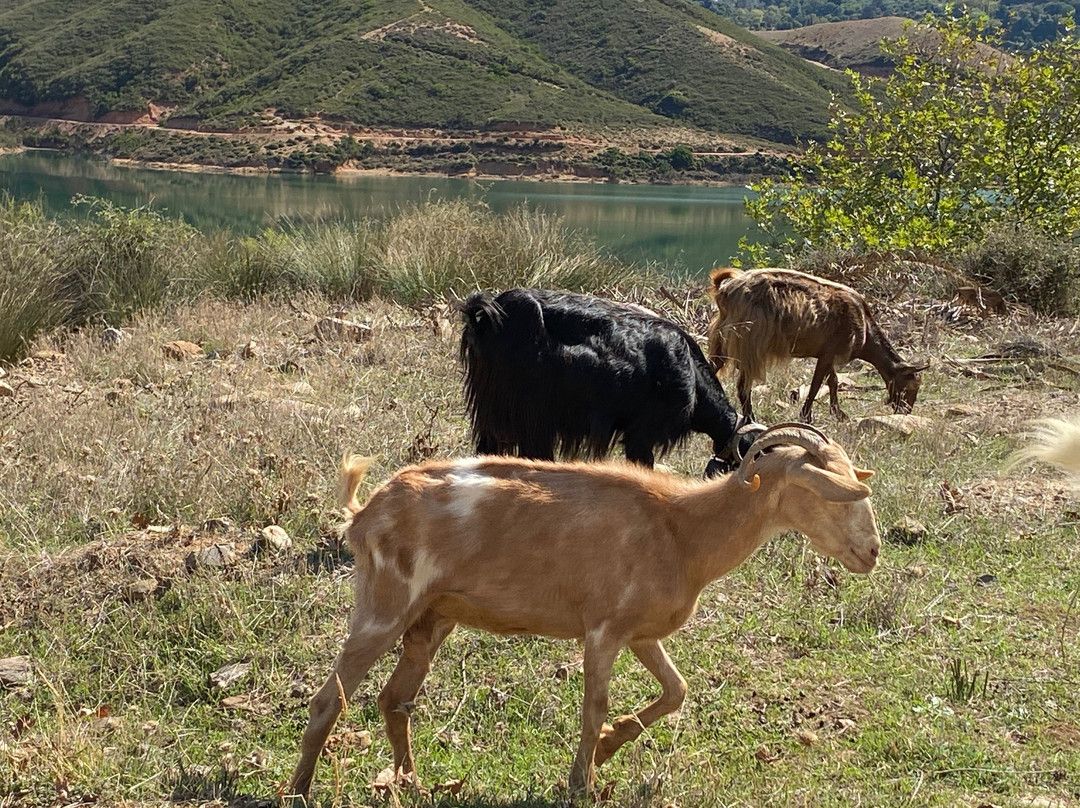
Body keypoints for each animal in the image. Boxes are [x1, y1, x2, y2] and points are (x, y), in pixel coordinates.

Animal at [291, 425, 881, 799]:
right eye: (829, 494)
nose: (871, 552)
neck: (682, 529)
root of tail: (365, 513)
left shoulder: (640, 632)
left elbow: (676, 690)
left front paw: (608, 747)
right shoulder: (602, 630)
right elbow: (594, 706)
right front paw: (583, 781)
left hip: (431, 619)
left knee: (395, 700)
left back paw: (410, 783)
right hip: (384, 606)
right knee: (329, 700)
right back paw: (299, 790)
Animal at [708, 267, 928, 425]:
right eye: (911, 385)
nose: (905, 411)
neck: (865, 328)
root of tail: (725, 292)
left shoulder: (828, 354)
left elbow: (833, 381)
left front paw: (838, 413)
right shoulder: (830, 353)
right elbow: (816, 385)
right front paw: (806, 416)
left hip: (723, 341)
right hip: (748, 342)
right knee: (743, 386)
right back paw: (751, 418)